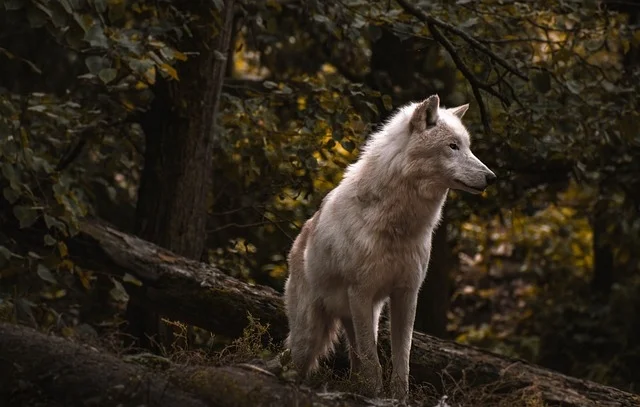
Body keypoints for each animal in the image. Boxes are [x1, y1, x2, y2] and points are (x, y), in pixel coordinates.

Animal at [283, 94, 496, 399]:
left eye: (467, 146)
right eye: (452, 146)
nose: (491, 177)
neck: (398, 227)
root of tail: (298, 240)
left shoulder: (406, 294)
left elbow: (401, 358)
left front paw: (398, 397)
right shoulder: (360, 292)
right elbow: (373, 361)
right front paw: (375, 393)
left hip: (363, 317)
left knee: (355, 358)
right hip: (311, 333)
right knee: (300, 359)